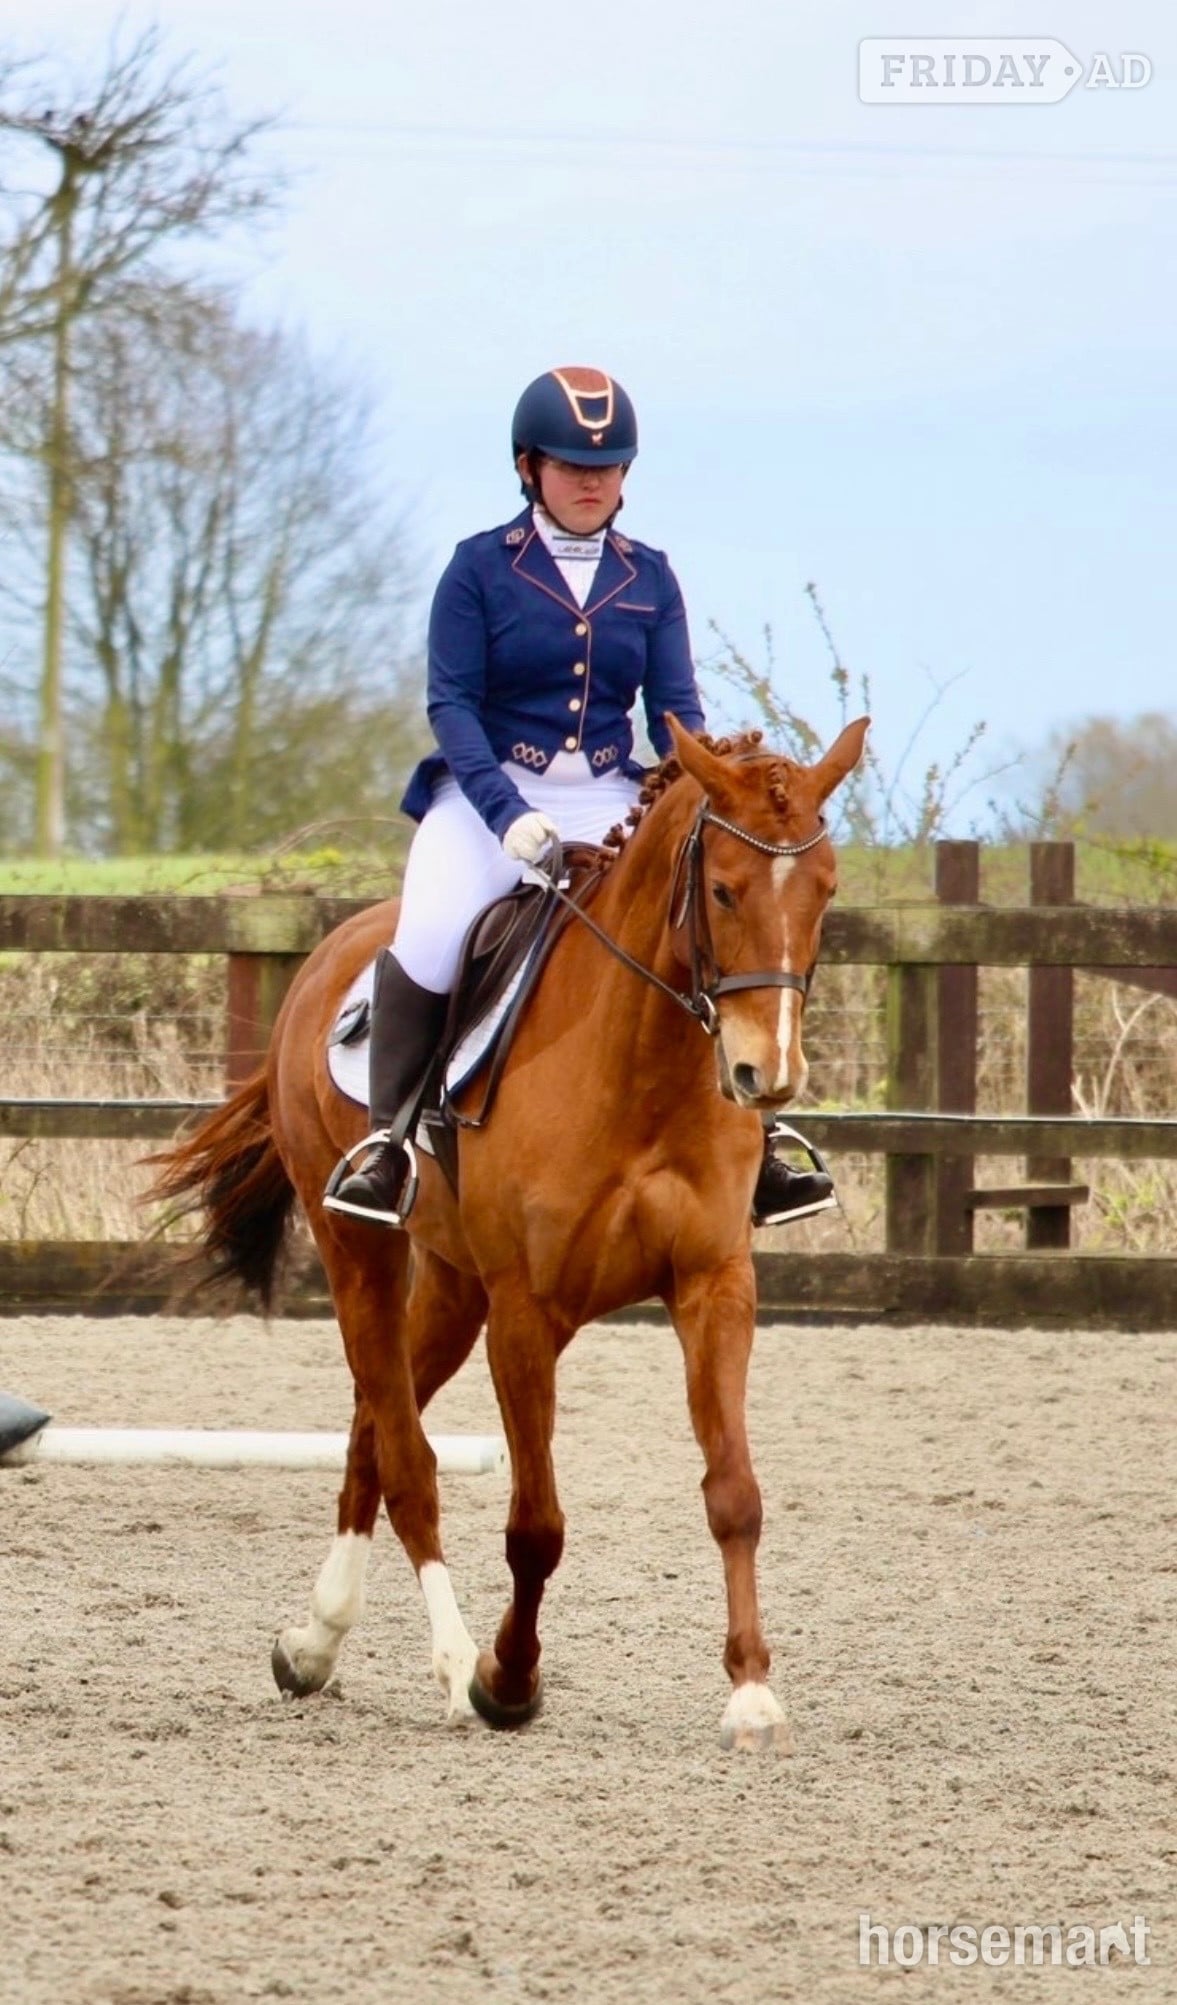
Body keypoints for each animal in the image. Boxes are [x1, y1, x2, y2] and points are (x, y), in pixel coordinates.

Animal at [150, 713, 868, 1751]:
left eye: (824, 892)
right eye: (723, 889)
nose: (761, 1075)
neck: (642, 1069)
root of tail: (334, 948)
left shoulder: (713, 1286)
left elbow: (734, 1493)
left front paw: (750, 1692)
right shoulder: (527, 1313)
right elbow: (536, 1523)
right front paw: (508, 1678)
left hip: (452, 1285)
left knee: (372, 1433)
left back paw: (314, 1644)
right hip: (362, 1256)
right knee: (406, 1456)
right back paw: (450, 1665)